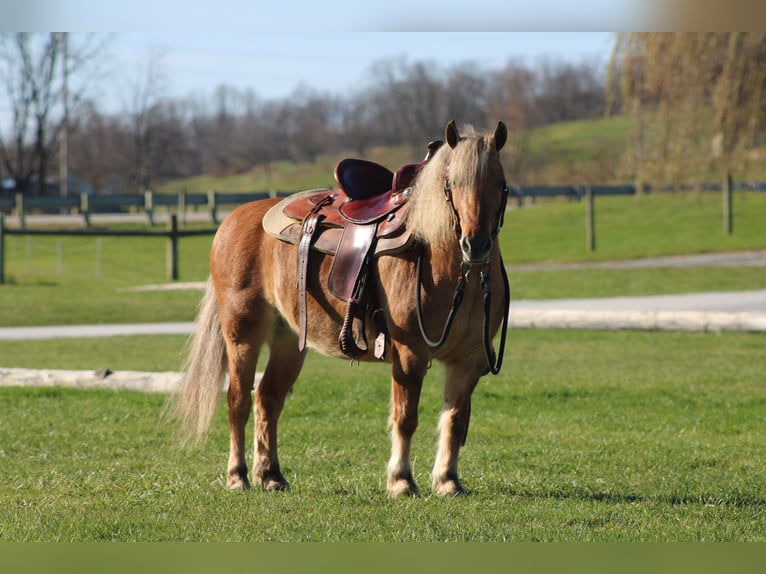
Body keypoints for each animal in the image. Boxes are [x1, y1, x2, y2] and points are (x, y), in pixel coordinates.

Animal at [172, 120, 510, 497]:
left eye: (500, 181)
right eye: (453, 183)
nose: (475, 244)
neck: (445, 264)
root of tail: (232, 220)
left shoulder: (468, 361)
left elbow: (454, 419)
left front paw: (448, 481)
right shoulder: (410, 354)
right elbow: (406, 418)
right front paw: (401, 481)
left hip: (288, 342)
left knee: (268, 399)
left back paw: (270, 475)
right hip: (242, 336)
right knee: (238, 400)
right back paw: (238, 475)